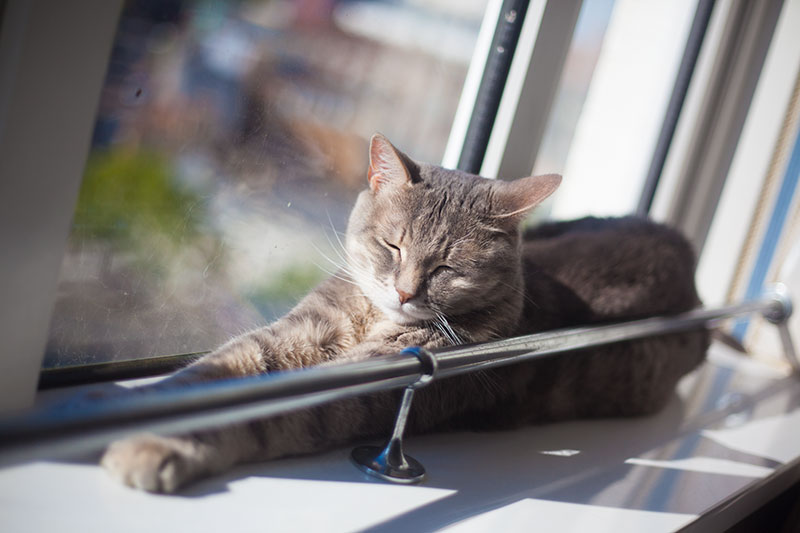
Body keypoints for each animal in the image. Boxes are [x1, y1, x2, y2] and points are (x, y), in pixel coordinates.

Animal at [100, 132, 708, 490]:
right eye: (393, 246)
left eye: (445, 267)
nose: (404, 292)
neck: (372, 319)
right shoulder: (301, 331)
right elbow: (216, 370)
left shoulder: (371, 385)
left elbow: (269, 412)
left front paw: (158, 446)